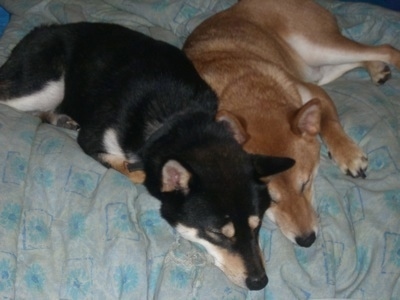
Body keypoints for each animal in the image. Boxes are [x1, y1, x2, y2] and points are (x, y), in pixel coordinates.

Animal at [0, 22, 294, 290]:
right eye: (215, 233)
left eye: (257, 226)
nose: (259, 282)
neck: (176, 118)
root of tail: (44, 29)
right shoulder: (93, 139)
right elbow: (136, 173)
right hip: (45, 87)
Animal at [185, 0, 400, 246]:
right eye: (269, 199)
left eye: (305, 184)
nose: (307, 240)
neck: (252, 94)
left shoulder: (313, 93)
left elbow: (328, 122)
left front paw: (347, 154)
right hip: (321, 68)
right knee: (361, 58)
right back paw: (377, 68)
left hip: (319, 48)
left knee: (385, 49)